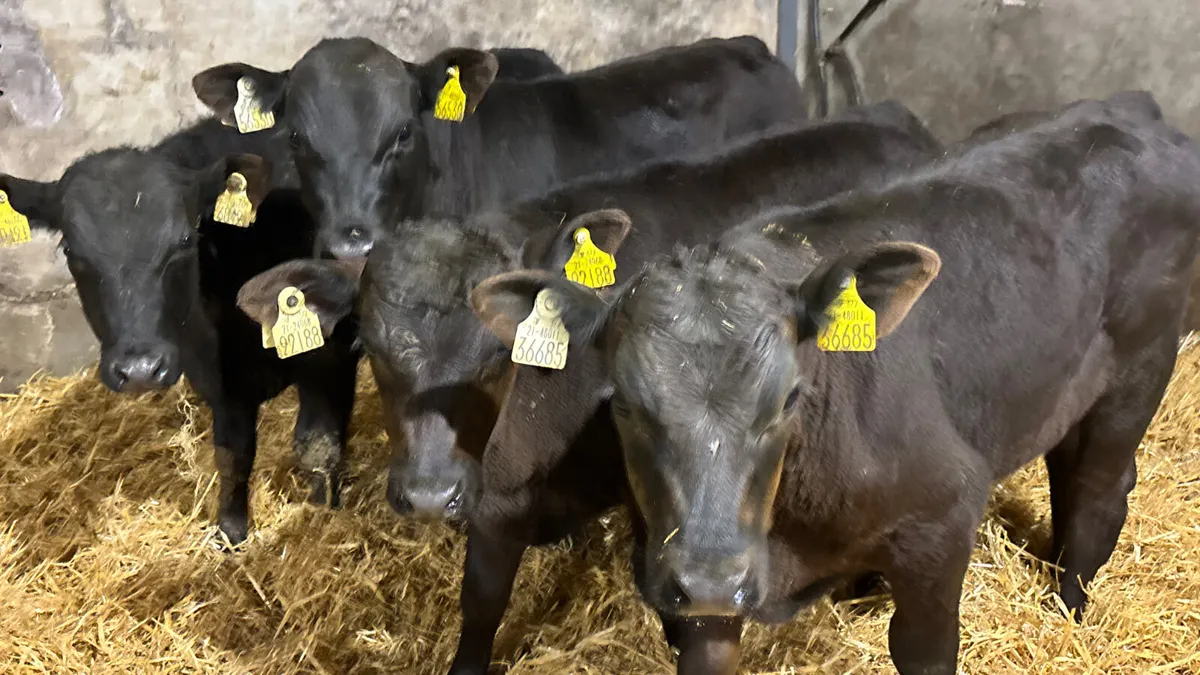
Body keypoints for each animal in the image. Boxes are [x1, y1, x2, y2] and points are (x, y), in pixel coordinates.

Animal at [468, 91, 1200, 674]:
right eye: (622, 405)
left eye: (791, 397)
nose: (710, 575)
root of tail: (1134, 110)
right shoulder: (698, 587)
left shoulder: (941, 516)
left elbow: (924, 649)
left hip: (1142, 363)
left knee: (1100, 489)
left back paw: (1068, 607)